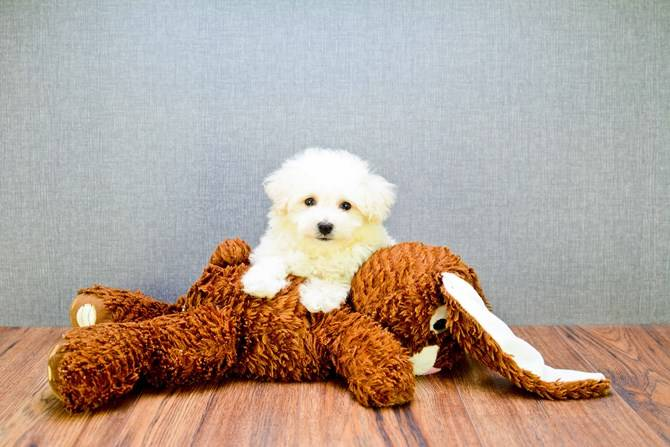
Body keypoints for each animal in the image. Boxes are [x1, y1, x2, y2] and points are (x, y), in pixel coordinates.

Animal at [243, 149, 396, 314]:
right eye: (309, 201)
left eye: (346, 205)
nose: (325, 226)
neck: (318, 250)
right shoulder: (275, 244)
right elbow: (272, 258)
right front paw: (261, 281)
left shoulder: (350, 263)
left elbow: (333, 277)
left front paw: (320, 297)